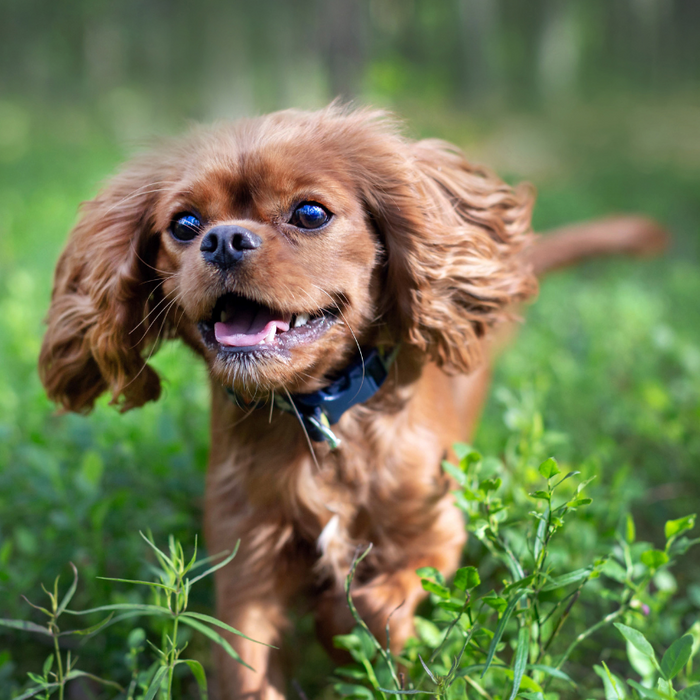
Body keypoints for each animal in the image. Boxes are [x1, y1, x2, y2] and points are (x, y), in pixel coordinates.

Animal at [39, 104, 668, 700]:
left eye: (310, 214)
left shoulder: (436, 532)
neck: (319, 413)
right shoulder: (247, 562)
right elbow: (245, 669)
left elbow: (372, 606)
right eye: (186, 225)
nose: (223, 239)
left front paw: (346, 636)